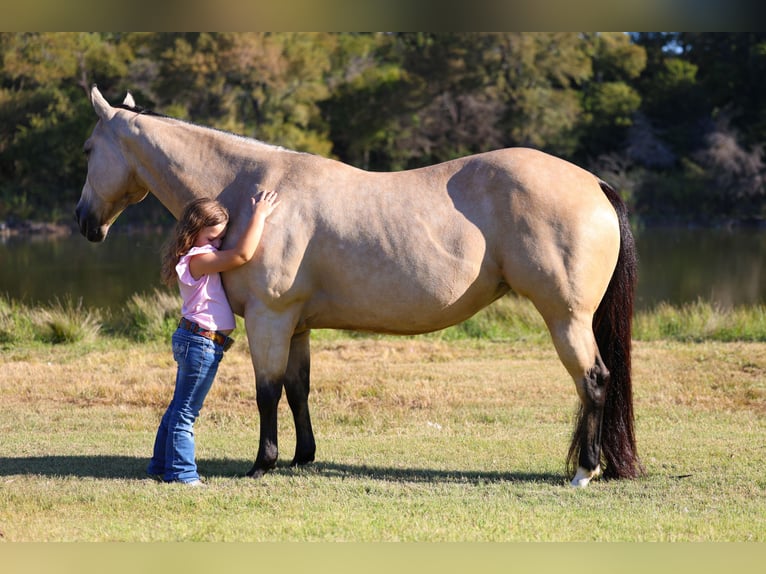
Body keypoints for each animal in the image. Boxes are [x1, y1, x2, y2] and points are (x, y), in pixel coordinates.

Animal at [75, 85, 641, 487]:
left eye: (87, 148)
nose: (84, 221)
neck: (253, 189)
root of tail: (595, 184)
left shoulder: (268, 317)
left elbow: (265, 392)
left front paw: (263, 463)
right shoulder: (296, 324)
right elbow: (297, 390)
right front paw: (303, 457)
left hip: (566, 318)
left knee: (594, 380)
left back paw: (584, 471)